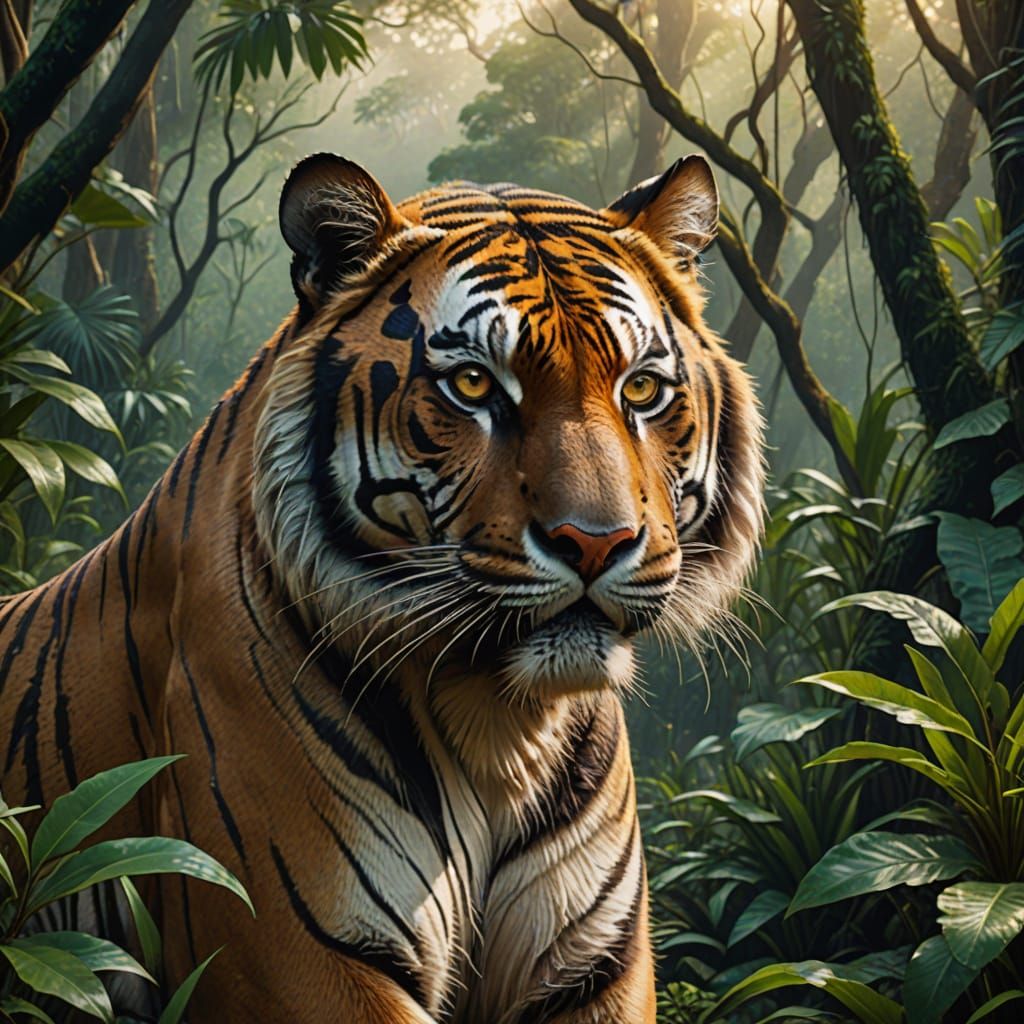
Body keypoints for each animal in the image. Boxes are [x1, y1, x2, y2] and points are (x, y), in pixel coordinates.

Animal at [0, 153, 763, 1023]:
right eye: (474, 385)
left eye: (641, 390)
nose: (596, 542)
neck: (502, 726)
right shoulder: (304, 955)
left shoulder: (594, 964)